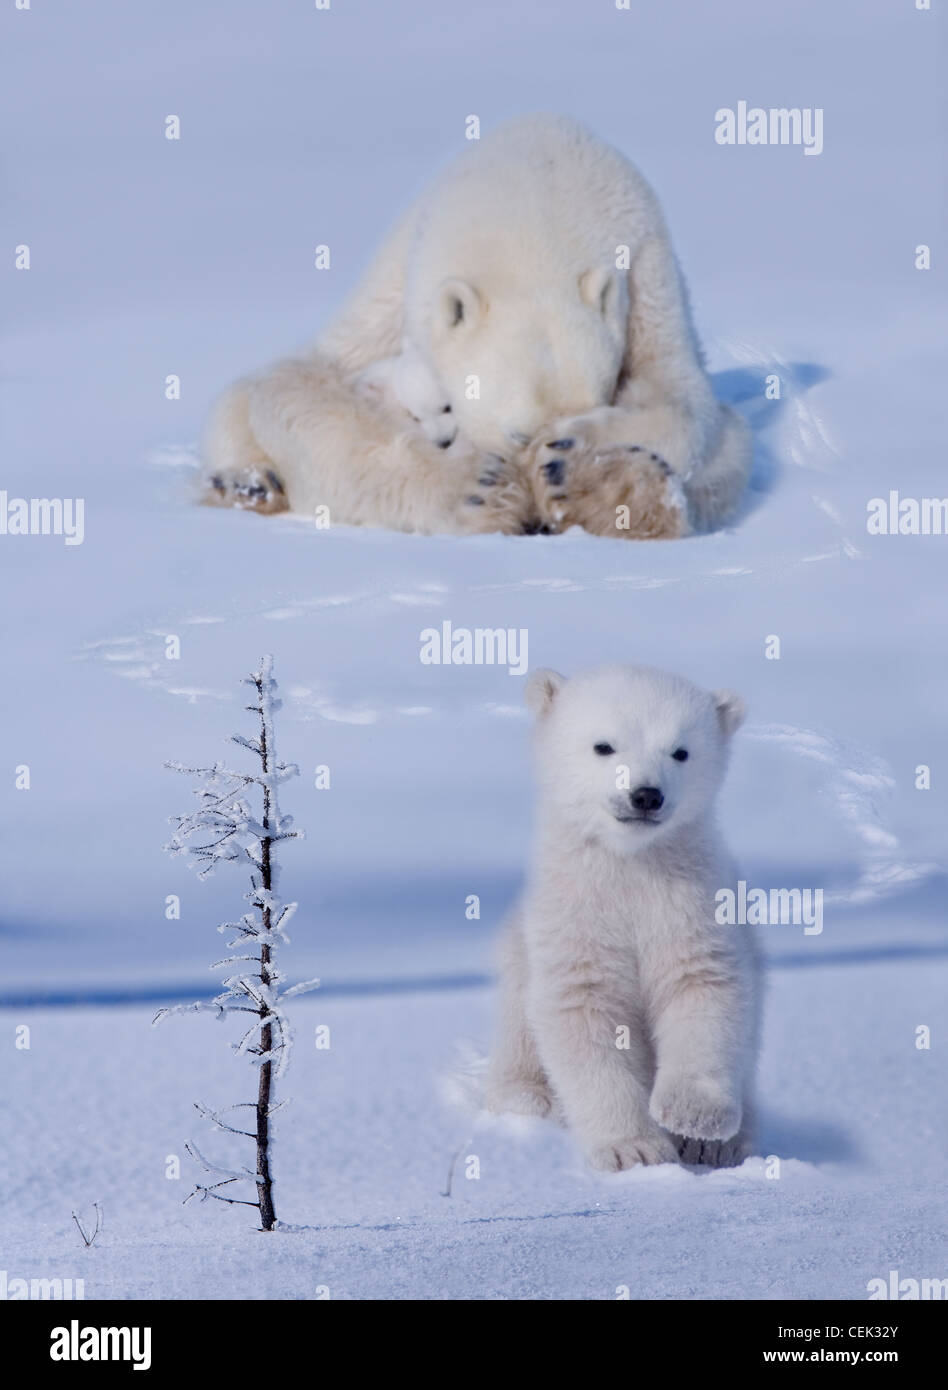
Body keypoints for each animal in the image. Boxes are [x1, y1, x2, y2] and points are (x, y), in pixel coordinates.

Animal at [202, 115, 750, 536]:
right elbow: (298, 385)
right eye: (515, 434)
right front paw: (479, 489)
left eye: (595, 403)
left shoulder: (646, 272)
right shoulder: (402, 286)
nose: (538, 520)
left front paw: (577, 471)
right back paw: (246, 484)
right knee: (238, 401)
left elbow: (686, 401)